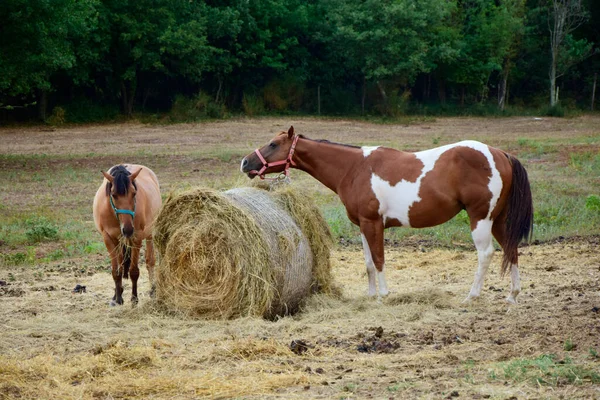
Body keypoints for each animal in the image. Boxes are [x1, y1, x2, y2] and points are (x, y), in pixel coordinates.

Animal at [92, 164, 162, 304]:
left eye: (134, 193)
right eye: (113, 195)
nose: (128, 229)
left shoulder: (137, 237)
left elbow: (134, 271)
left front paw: (134, 299)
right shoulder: (108, 238)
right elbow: (116, 271)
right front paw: (117, 298)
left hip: (149, 234)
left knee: (150, 261)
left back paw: (152, 289)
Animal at [241, 127, 532, 304]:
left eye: (273, 144)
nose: (245, 163)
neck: (354, 168)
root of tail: (500, 154)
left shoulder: (373, 223)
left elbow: (379, 260)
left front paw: (383, 294)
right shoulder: (362, 225)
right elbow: (369, 263)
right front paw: (371, 295)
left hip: (480, 219)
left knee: (486, 254)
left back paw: (472, 296)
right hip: (499, 220)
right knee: (511, 249)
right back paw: (513, 295)